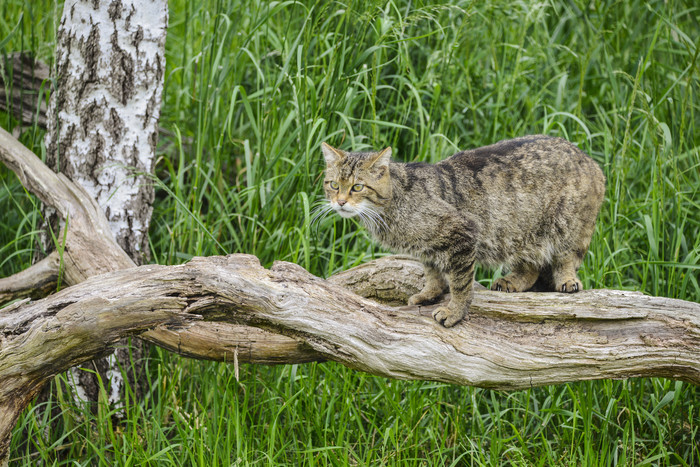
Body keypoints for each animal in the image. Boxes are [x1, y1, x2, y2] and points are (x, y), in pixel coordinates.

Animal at [320, 135, 604, 330]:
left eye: (357, 187)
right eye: (333, 185)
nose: (340, 202)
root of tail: (590, 159)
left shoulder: (462, 231)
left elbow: (460, 284)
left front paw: (454, 312)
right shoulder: (428, 247)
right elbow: (432, 272)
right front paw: (430, 294)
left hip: (568, 226)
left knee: (566, 257)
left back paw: (567, 280)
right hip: (522, 233)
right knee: (532, 265)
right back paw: (514, 280)